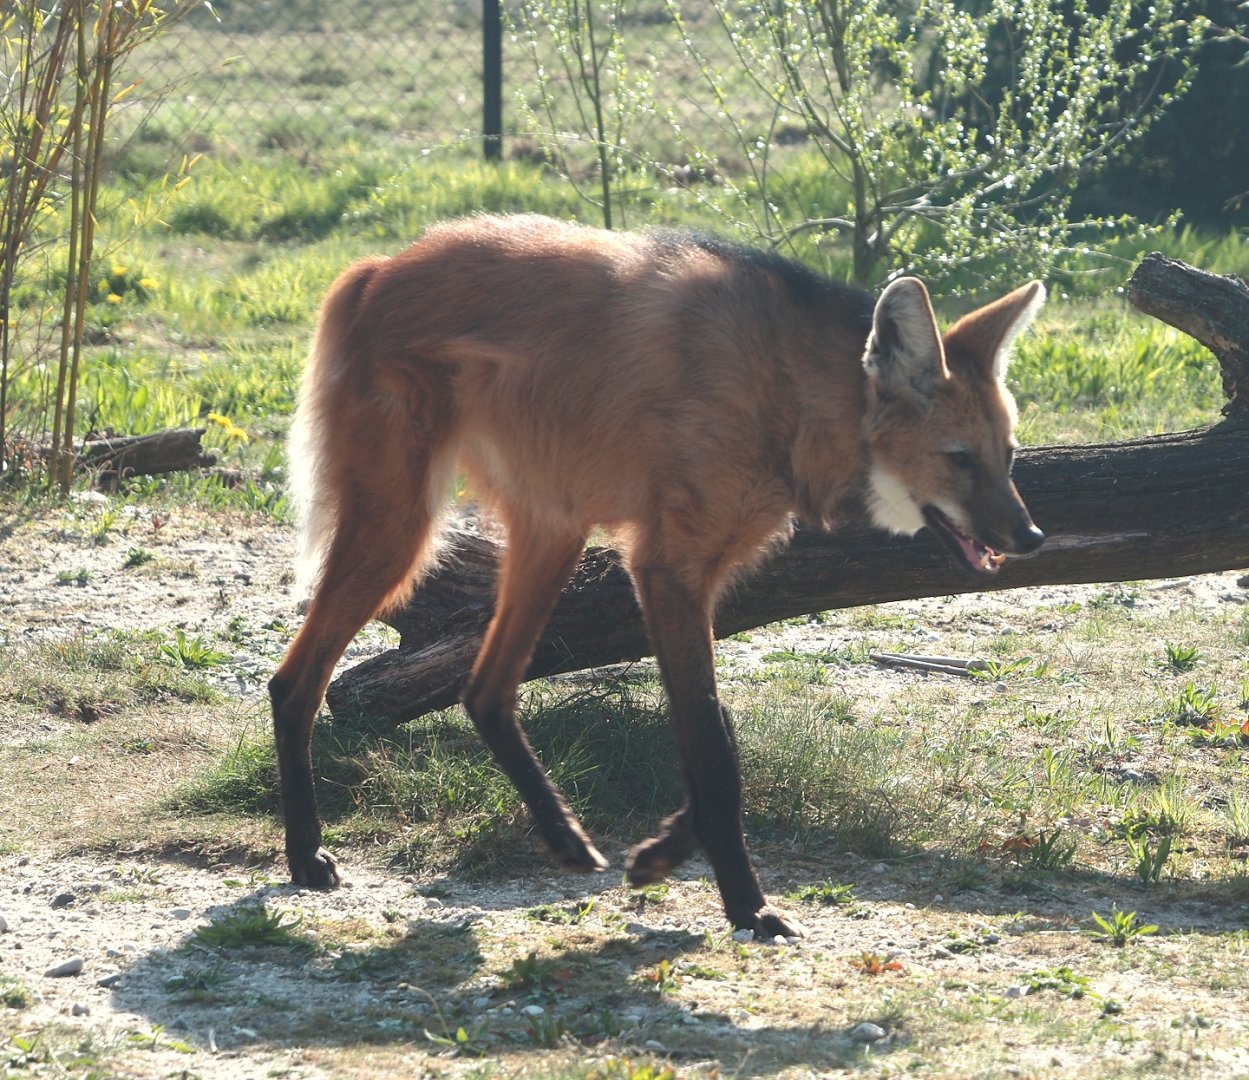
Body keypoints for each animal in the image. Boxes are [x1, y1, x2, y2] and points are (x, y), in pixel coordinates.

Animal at [269, 214, 1045, 938]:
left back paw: (564, 838)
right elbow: (711, 746)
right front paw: (747, 906)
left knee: (485, 690)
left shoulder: (691, 572)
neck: (789, 390)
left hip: (553, 527)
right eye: (958, 459)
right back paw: (305, 857)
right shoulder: (669, 568)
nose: (1030, 537)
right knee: (295, 680)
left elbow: (714, 734)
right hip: (402, 527)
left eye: (1007, 455)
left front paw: (662, 853)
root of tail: (377, 267)